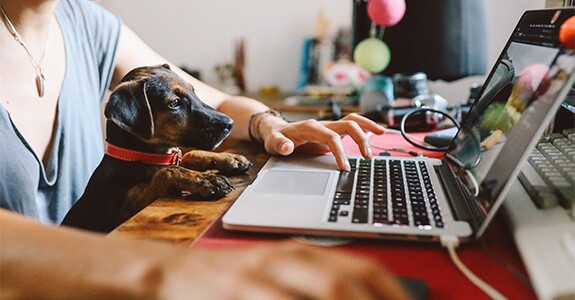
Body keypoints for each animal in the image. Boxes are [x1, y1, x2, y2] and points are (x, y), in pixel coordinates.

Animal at [62, 64, 253, 233]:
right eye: (174, 103)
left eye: (193, 91)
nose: (230, 124)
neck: (140, 156)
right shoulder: (123, 211)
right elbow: (165, 173)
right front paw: (206, 180)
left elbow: (189, 155)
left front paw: (230, 158)